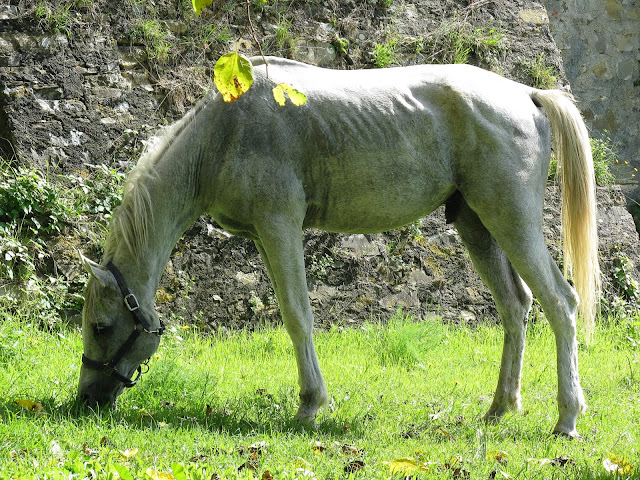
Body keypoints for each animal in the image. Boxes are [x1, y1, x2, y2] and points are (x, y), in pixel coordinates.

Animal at [76, 55, 600, 436]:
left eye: (101, 326)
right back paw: (499, 408)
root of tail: (528, 94)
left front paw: (310, 405)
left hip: (511, 221)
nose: (85, 400)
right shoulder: (265, 237)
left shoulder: (280, 226)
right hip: (478, 227)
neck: (223, 133)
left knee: (560, 302)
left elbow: (298, 316)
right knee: (516, 306)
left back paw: (567, 418)